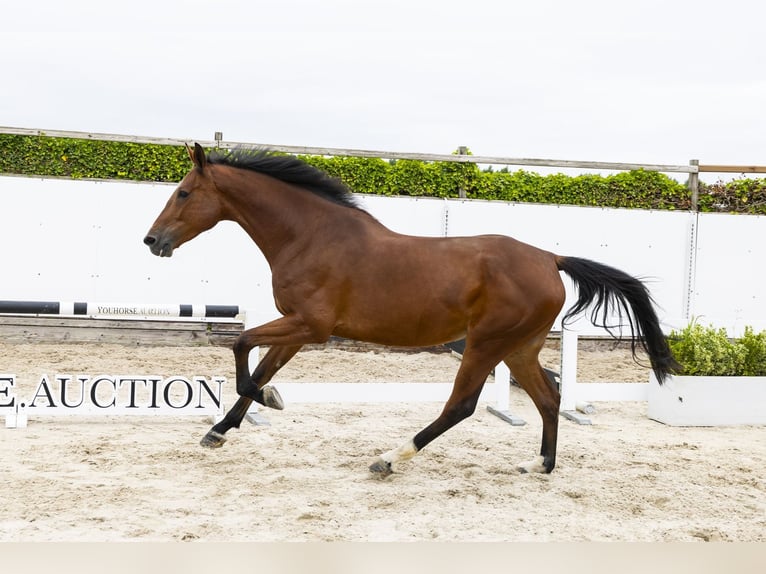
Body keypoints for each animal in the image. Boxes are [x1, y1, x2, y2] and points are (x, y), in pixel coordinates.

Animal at [144, 143, 679, 476]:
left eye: (184, 192)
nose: (153, 241)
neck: (311, 236)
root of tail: (550, 258)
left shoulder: (310, 326)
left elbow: (241, 347)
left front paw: (266, 400)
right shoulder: (298, 329)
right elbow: (259, 364)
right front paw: (221, 429)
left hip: (485, 343)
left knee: (461, 405)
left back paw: (391, 457)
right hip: (518, 347)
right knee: (548, 399)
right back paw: (540, 465)